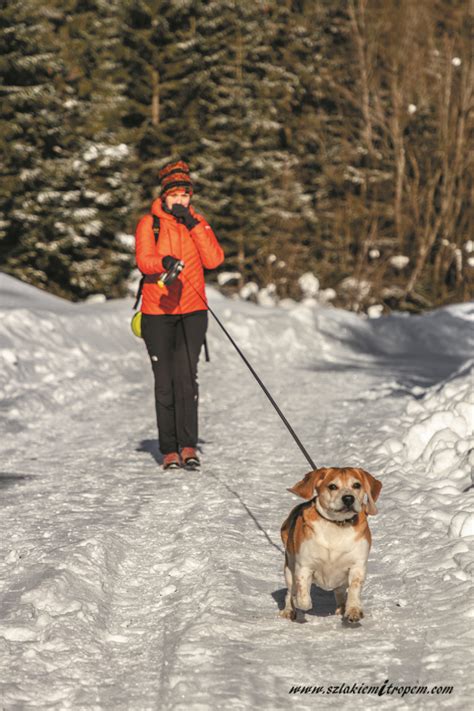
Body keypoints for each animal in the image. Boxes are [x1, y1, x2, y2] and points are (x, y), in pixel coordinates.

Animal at [282, 470, 382, 624]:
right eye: (332, 486)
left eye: (357, 485)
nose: (348, 498)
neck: (337, 524)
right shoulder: (304, 566)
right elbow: (303, 597)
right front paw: (302, 602)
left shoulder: (357, 566)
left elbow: (354, 589)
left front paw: (353, 610)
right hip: (289, 569)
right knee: (289, 592)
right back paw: (288, 610)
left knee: (340, 593)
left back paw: (342, 608)